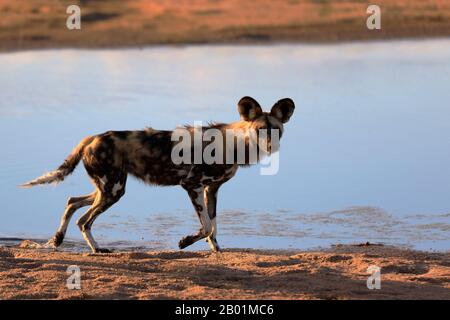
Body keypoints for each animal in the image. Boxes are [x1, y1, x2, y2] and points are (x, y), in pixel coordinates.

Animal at [22, 96, 296, 254]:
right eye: (260, 130)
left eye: (276, 131)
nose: (270, 146)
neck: (234, 143)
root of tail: (92, 137)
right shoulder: (192, 186)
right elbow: (207, 226)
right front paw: (185, 242)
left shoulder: (212, 189)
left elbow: (214, 225)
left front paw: (217, 250)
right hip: (113, 191)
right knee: (84, 220)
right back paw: (97, 249)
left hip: (106, 188)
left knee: (72, 202)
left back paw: (58, 240)